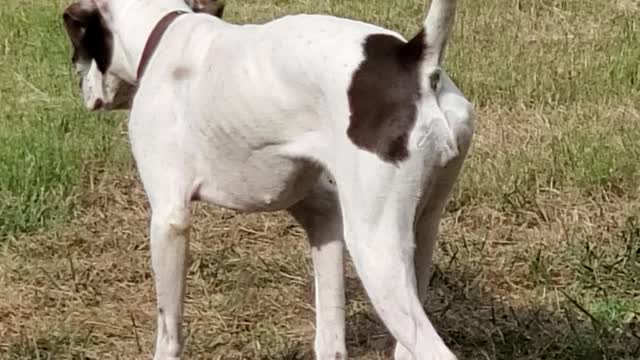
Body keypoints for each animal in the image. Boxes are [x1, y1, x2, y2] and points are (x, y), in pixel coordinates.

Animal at [63, 0, 476, 358]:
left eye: (77, 46)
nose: (81, 88)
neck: (164, 33)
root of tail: (415, 58)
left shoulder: (169, 220)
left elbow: (169, 331)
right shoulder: (321, 213)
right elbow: (331, 338)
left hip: (376, 250)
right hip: (419, 236)